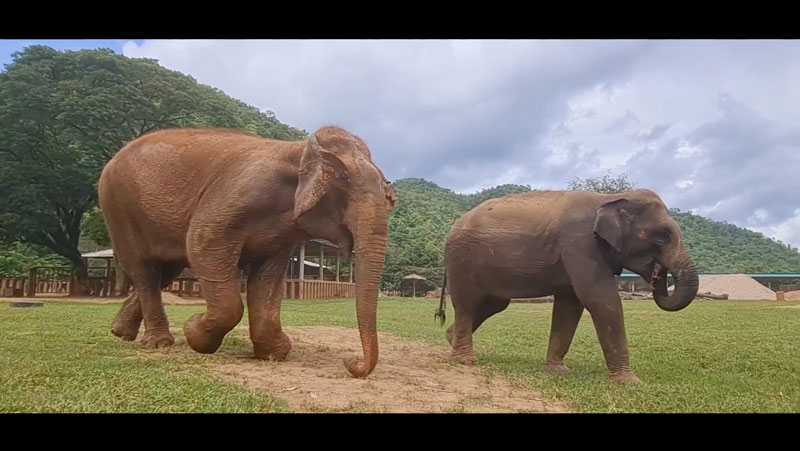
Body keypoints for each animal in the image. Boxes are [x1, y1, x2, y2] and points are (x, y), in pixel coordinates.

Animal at [98, 126, 396, 378]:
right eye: (344, 179)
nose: (350, 361)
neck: (298, 149)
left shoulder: (282, 236)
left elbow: (266, 280)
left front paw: (274, 353)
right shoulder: (235, 196)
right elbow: (201, 244)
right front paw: (194, 330)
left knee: (165, 271)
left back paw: (121, 332)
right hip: (118, 208)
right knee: (145, 270)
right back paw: (159, 344)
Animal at [434, 189, 696, 384]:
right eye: (662, 236)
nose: (658, 273)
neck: (610, 197)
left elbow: (570, 306)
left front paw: (558, 371)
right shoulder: (581, 244)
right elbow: (601, 300)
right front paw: (630, 382)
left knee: (494, 304)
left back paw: (451, 339)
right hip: (463, 259)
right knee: (468, 303)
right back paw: (465, 360)